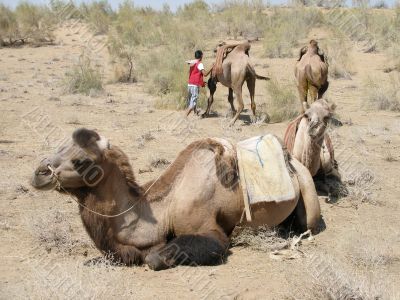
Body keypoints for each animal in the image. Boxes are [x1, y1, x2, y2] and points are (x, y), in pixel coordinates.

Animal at [32, 127, 322, 270]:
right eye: (60, 147)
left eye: (81, 161)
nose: (39, 173)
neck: (164, 209)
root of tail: (290, 157)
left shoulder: (209, 230)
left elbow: (154, 258)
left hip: (307, 192)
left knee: (308, 222)